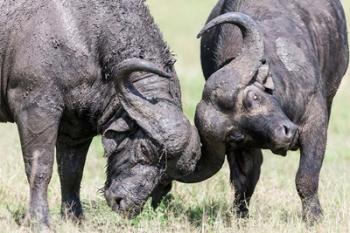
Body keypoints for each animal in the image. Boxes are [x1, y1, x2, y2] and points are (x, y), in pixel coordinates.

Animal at [0, 0, 200, 229]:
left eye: (166, 175)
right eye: (144, 148)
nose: (125, 204)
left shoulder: (75, 130)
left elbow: (71, 173)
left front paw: (75, 219)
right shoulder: (36, 109)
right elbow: (40, 168)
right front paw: (39, 221)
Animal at [152, 0, 348, 224]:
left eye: (254, 97)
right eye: (236, 136)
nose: (284, 135)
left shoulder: (314, 121)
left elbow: (306, 177)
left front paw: (314, 218)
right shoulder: (242, 149)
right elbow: (244, 181)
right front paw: (240, 215)